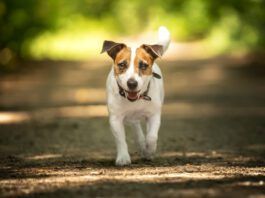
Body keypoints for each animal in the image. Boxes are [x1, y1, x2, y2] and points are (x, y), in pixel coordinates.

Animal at [100, 26, 170, 166]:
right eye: (122, 64)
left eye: (143, 65)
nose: (132, 83)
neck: (135, 100)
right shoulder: (115, 119)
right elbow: (121, 139)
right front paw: (123, 157)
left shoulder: (154, 115)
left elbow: (152, 137)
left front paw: (149, 151)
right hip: (131, 119)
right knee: (136, 129)